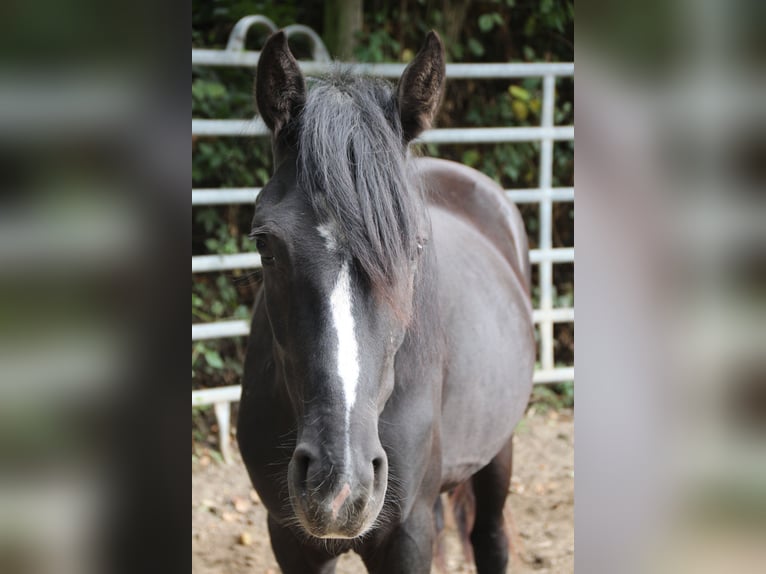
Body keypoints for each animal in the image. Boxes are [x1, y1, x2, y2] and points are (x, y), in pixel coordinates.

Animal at [237, 30, 534, 573]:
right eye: (265, 243)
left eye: (415, 247)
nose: (339, 483)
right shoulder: (289, 539)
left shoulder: (406, 535)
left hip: (498, 453)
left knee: (490, 536)